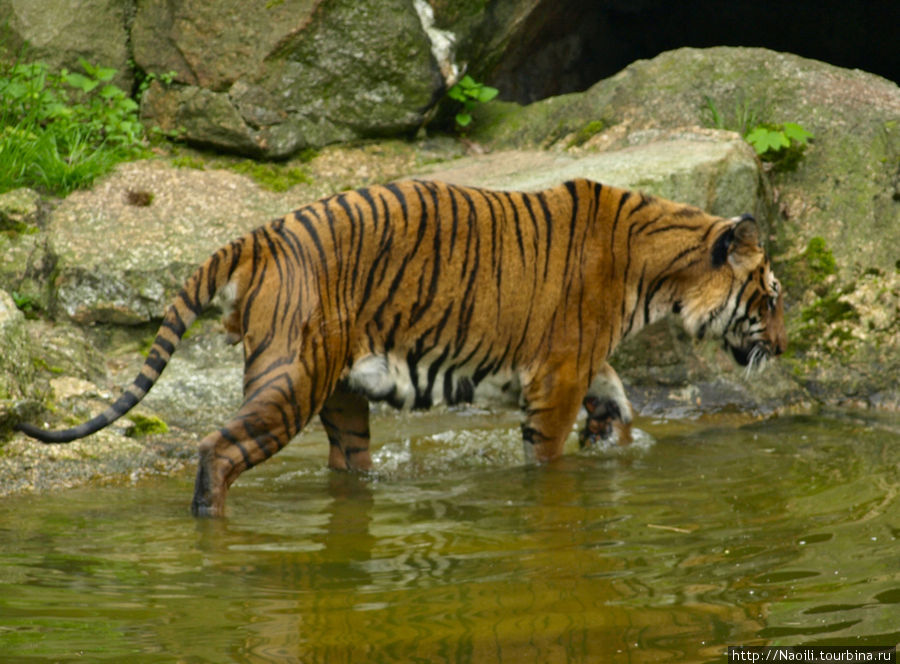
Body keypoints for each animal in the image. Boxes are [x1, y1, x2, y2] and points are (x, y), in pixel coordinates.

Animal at [17, 179, 784, 516]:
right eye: (772, 298)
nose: (780, 345)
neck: (658, 271)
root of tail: (260, 233)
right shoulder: (559, 374)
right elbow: (549, 453)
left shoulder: (584, 366)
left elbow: (619, 398)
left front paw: (613, 442)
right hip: (291, 379)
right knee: (217, 450)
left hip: (339, 394)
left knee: (345, 463)